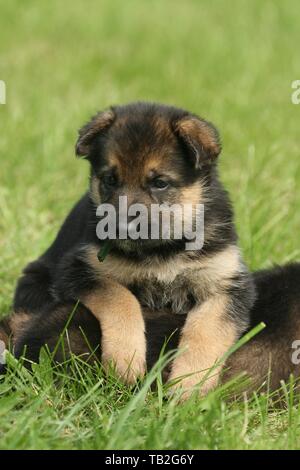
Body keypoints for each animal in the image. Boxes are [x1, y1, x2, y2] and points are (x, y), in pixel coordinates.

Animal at [0, 102, 298, 396]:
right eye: (110, 180)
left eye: (160, 183)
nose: (120, 226)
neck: (163, 250)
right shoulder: (80, 269)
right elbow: (121, 299)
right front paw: (126, 360)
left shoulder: (226, 284)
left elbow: (208, 332)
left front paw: (189, 385)